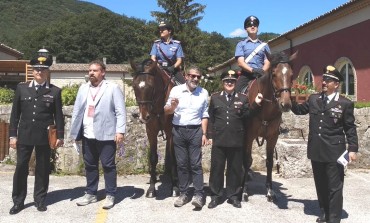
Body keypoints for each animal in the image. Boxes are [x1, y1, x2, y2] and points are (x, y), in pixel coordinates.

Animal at [129, 58, 178, 197]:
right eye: (134, 86)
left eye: (151, 87)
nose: (144, 116)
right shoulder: (151, 131)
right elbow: (153, 158)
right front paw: (151, 188)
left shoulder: (171, 131)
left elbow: (173, 156)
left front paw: (175, 187)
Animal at [243, 51, 298, 201]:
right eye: (273, 74)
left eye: (292, 75)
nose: (285, 104)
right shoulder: (249, 136)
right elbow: (247, 159)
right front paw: (244, 190)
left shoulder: (272, 137)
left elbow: (269, 162)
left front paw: (270, 191)